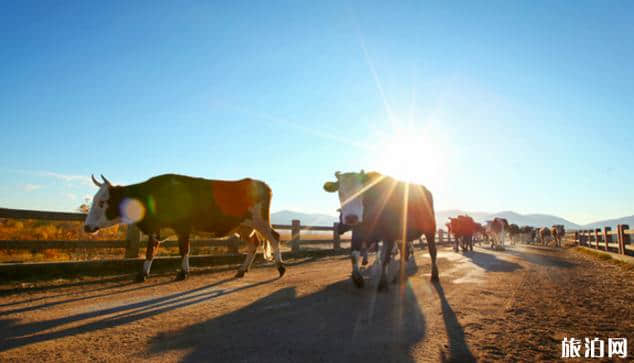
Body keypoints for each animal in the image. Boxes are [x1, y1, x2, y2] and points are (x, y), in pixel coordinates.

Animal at [82, 175, 286, 282]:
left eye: (102, 202)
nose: (86, 227)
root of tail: (260, 183)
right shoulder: (156, 230)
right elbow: (150, 252)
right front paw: (142, 274)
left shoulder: (183, 227)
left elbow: (184, 250)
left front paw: (183, 272)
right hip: (243, 226)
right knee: (254, 243)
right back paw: (242, 270)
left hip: (260, 220)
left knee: (274, 237)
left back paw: (281, 267)